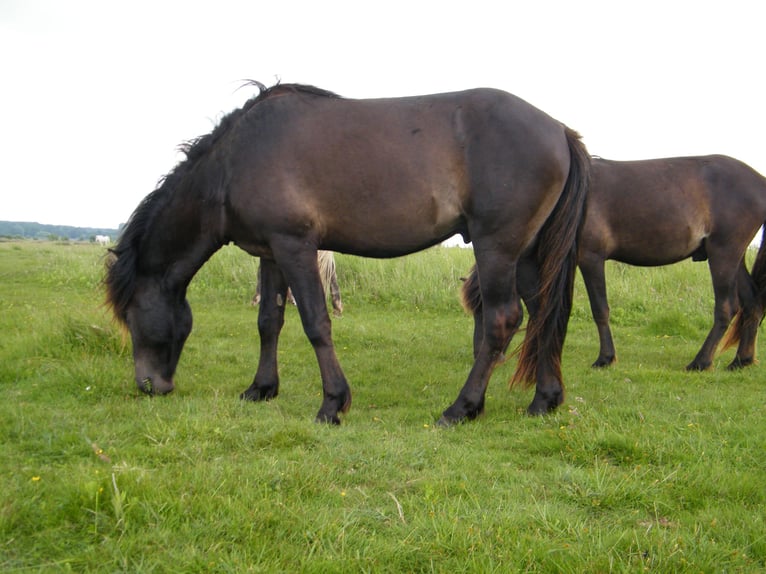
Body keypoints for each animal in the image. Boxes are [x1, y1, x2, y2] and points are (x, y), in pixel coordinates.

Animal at [104, 82, 589, 425]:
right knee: (544, 314)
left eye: (130, 314)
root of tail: (559, 130)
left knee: (503, 320)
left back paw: (461, 408)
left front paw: (332, 404)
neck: (233, 162)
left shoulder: (295, 246)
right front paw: (261, 389)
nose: (149, 385)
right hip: (527, 254)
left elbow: (316, 323)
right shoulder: (270, 252)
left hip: (497, 248)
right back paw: (544, 401)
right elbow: (268, 322)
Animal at [462, 155, 766, 372]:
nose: (480, 355)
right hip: (732, 257)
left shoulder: (591, 258)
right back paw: (741, 360)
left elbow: (600, 309)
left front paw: (605, 358)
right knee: (752, 302)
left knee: (727, 307)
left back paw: (701, 361)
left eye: (484, 309)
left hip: (723, 253)